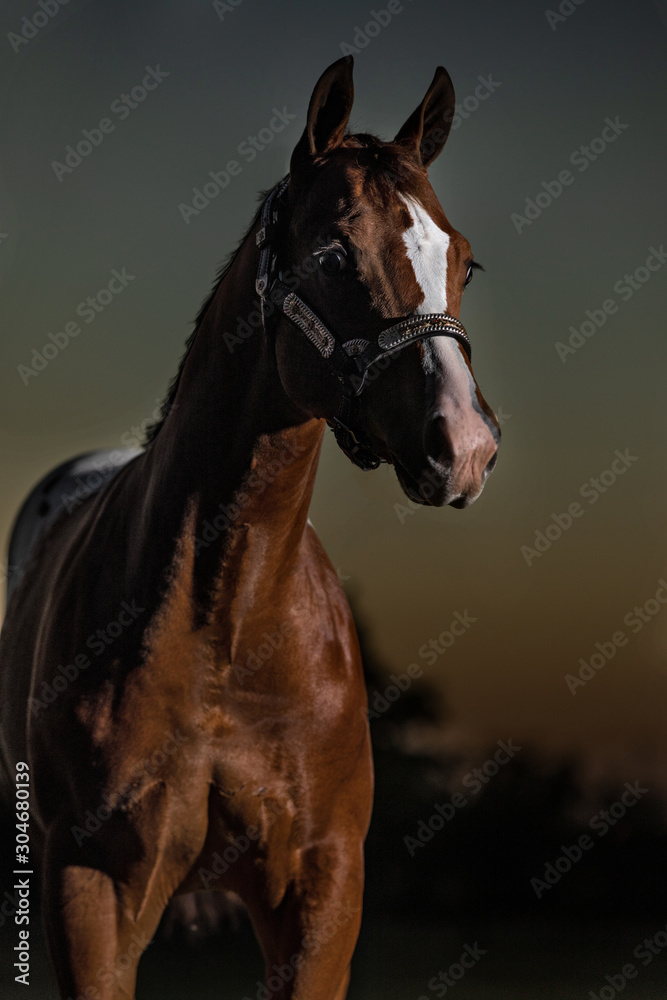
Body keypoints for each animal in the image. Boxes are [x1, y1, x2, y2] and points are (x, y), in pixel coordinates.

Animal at [0, 56, 499, 999]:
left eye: (464, 260)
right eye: (334, 253)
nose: (465, 446)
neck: (224, 623)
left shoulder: (322, 893)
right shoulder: (90, 896)